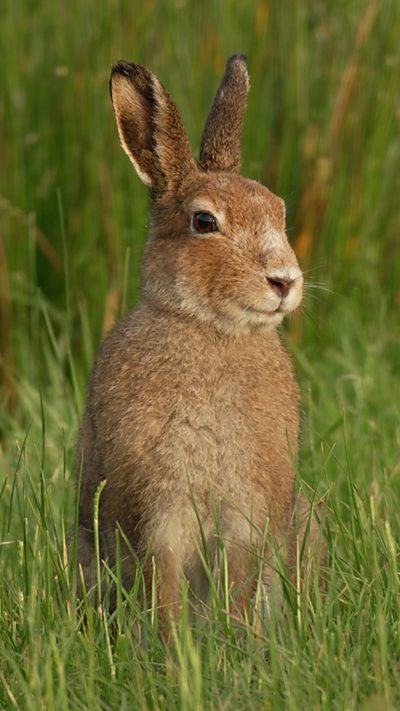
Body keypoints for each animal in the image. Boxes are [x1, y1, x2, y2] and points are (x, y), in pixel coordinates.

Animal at [75, 54, 324, 634]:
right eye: (205, 221)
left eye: (279, 210)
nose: (284, 281)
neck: (212, 329)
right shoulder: (160, 514)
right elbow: (162, 587)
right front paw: (171, 647)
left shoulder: (247, 515)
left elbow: (238, 585)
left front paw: (232, 642)